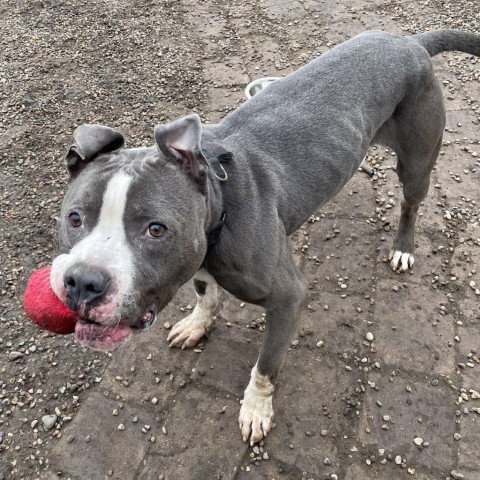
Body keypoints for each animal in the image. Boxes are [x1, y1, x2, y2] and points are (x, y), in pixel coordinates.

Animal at [50, 29, 478, 442]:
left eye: (156, 229)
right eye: (74, 219)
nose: (83, 282)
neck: (220, 207)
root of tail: (409, 42)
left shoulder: (287, 298)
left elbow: (266, 366)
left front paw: (256, 408)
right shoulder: (200, 262)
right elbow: (206, 294)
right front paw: (197, 324)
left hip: (417, 160)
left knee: (411, 203)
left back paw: (403, 247)